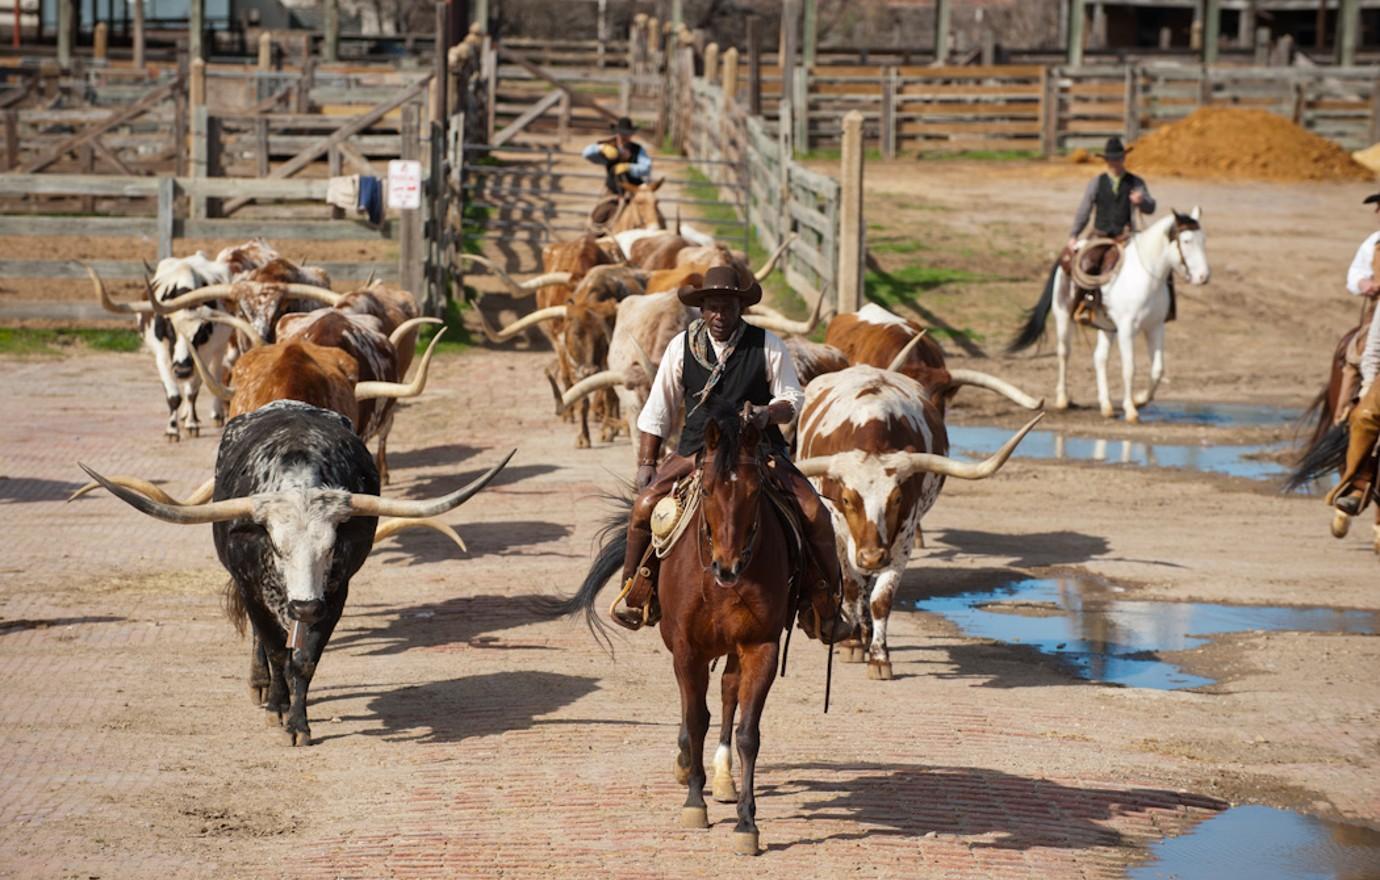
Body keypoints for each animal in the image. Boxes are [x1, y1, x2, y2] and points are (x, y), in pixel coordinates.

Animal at [554, 400, 805, 855]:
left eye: (755, 492)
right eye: (706, 491)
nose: (728, 567)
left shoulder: (760, 646)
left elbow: (747, 732)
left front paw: (747, 822)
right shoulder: (687, 647)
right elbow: (696, 717)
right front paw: (694, 801)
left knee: (727, 692)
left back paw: (722, 777)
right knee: (695, 705)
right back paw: (688, 762)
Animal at [1010, 208, 1214, 424]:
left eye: (1204, 239)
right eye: (1187, 241)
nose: (1203, 277)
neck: (1146, 276)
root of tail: (1068, 253)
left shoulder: (1155, 326)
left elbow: (1158, 369)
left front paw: (1140, 400)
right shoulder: (1126, 329)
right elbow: (1129, 368)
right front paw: (1131, 410)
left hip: (1107, 327)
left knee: (1099, 358)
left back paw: (1106, 406)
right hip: (1063, 317)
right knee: (1064, 353)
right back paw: (1063, 399)